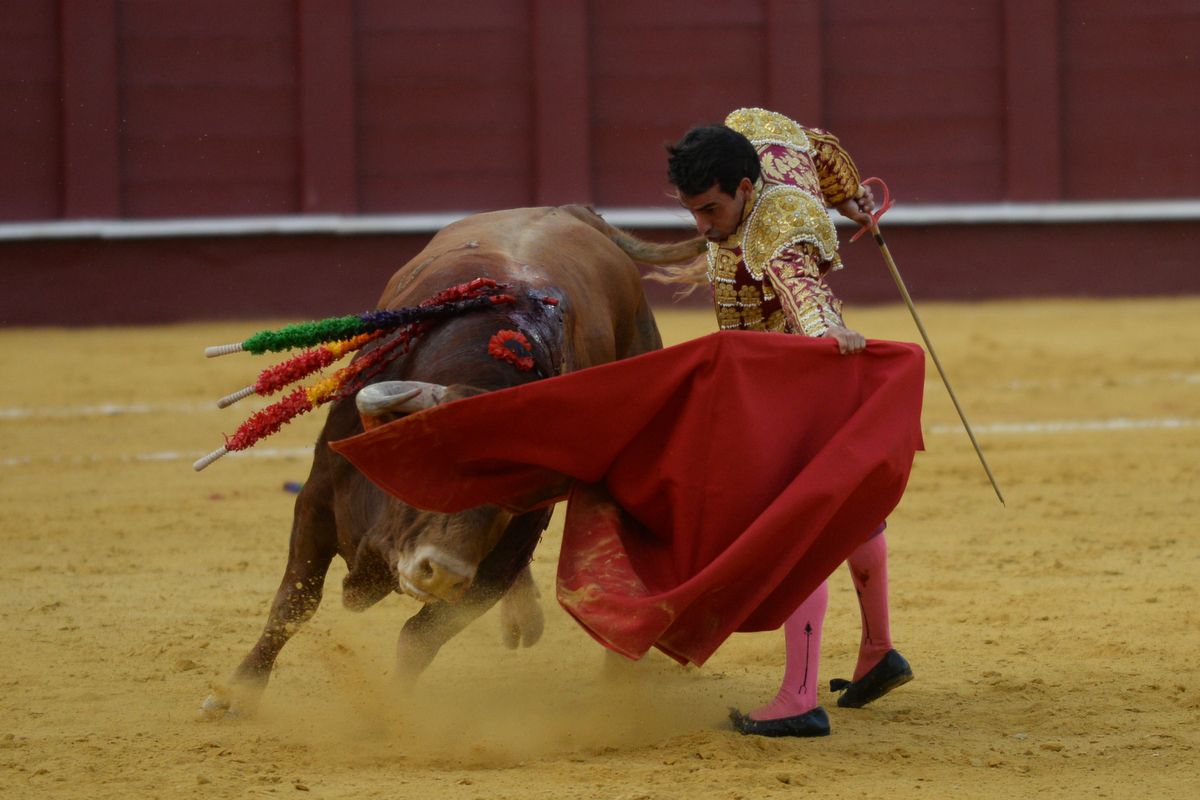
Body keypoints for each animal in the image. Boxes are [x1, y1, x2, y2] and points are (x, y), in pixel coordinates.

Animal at [200, 206, 700, 719]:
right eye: (429, 471)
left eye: (508, 501)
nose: (443, 573)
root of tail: (571, 212)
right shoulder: (317, 502)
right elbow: (293, 604)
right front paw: (237, 693)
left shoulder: (495, 566)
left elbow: (420, 636)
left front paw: (393, 712)